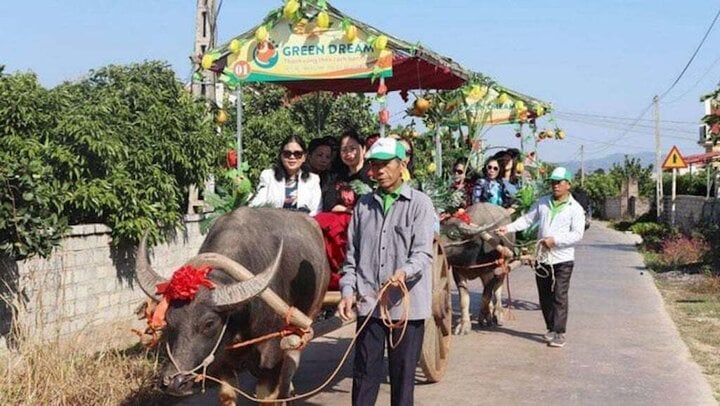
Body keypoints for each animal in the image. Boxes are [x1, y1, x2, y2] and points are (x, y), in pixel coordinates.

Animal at [134, 208, 330, 404]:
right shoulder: (223, 357)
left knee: (291, 358)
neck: (242, 315)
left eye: (209, 323)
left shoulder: (272, 350)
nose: (174, 383)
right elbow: (227, 394)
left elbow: (266, 394)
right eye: (168, 320)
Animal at [436, 205, 516, 334]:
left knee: (498, 287)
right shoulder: (458, 272)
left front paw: (484, 318)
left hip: (504, 263)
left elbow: (485, 297)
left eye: (453, 234)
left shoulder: (491, 272)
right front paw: (464, 325)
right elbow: (464, 300)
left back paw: (498, 314)